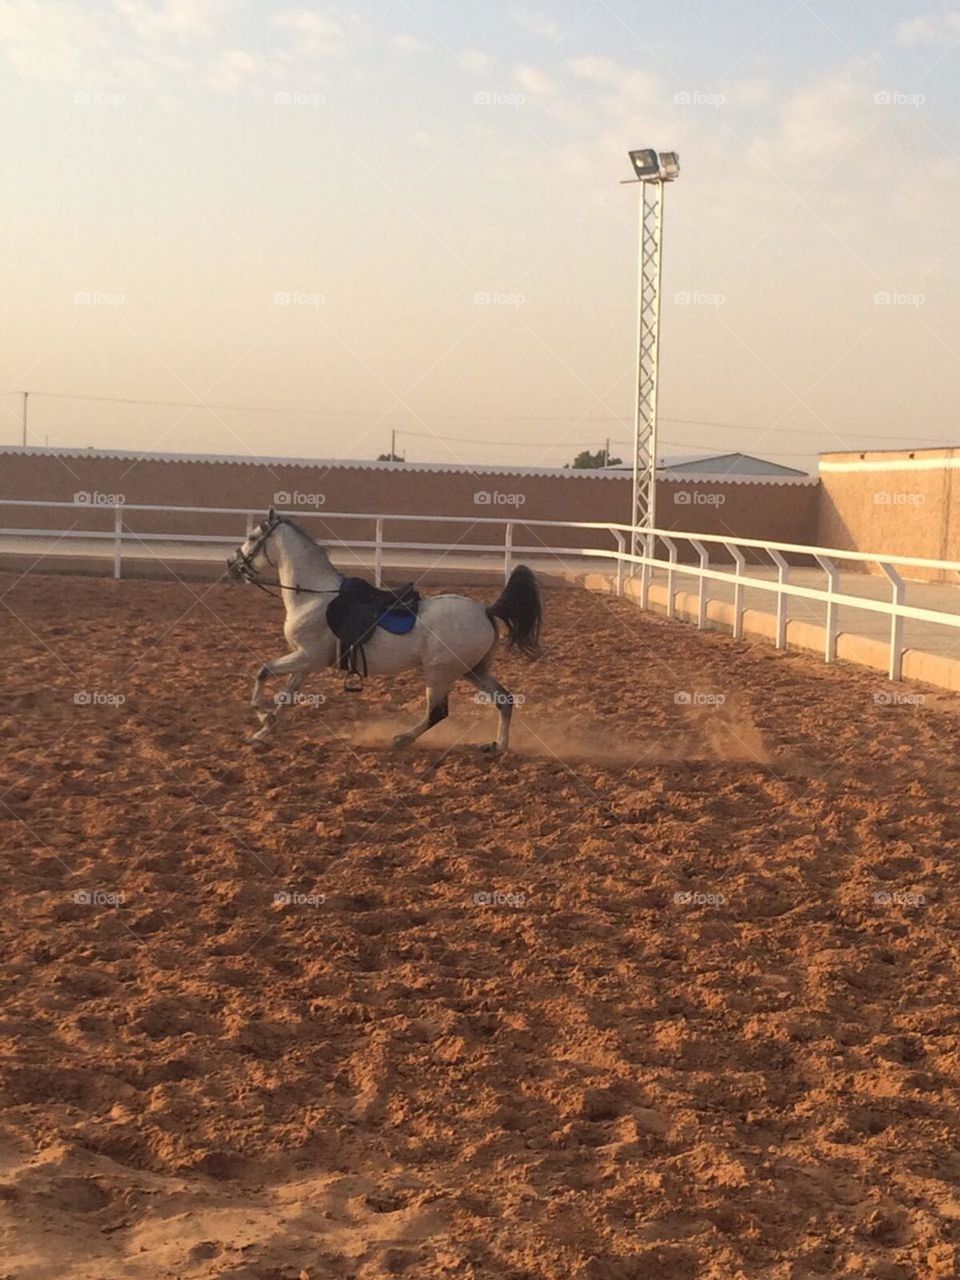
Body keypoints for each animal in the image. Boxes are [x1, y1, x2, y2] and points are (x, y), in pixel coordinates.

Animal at [226, 509, 542, 753]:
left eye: (252, 538)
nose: (231, 566)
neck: (312, 595)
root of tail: (486, 610)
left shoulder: (308, 658)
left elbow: (263, 672)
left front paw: (262, 717)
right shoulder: (303, 662)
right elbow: (286, 696)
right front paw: (262, 733)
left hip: (441, 672)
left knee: (438, 712)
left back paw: (401, 739)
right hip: (473, 670)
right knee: (504, 701)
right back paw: (496, 746)